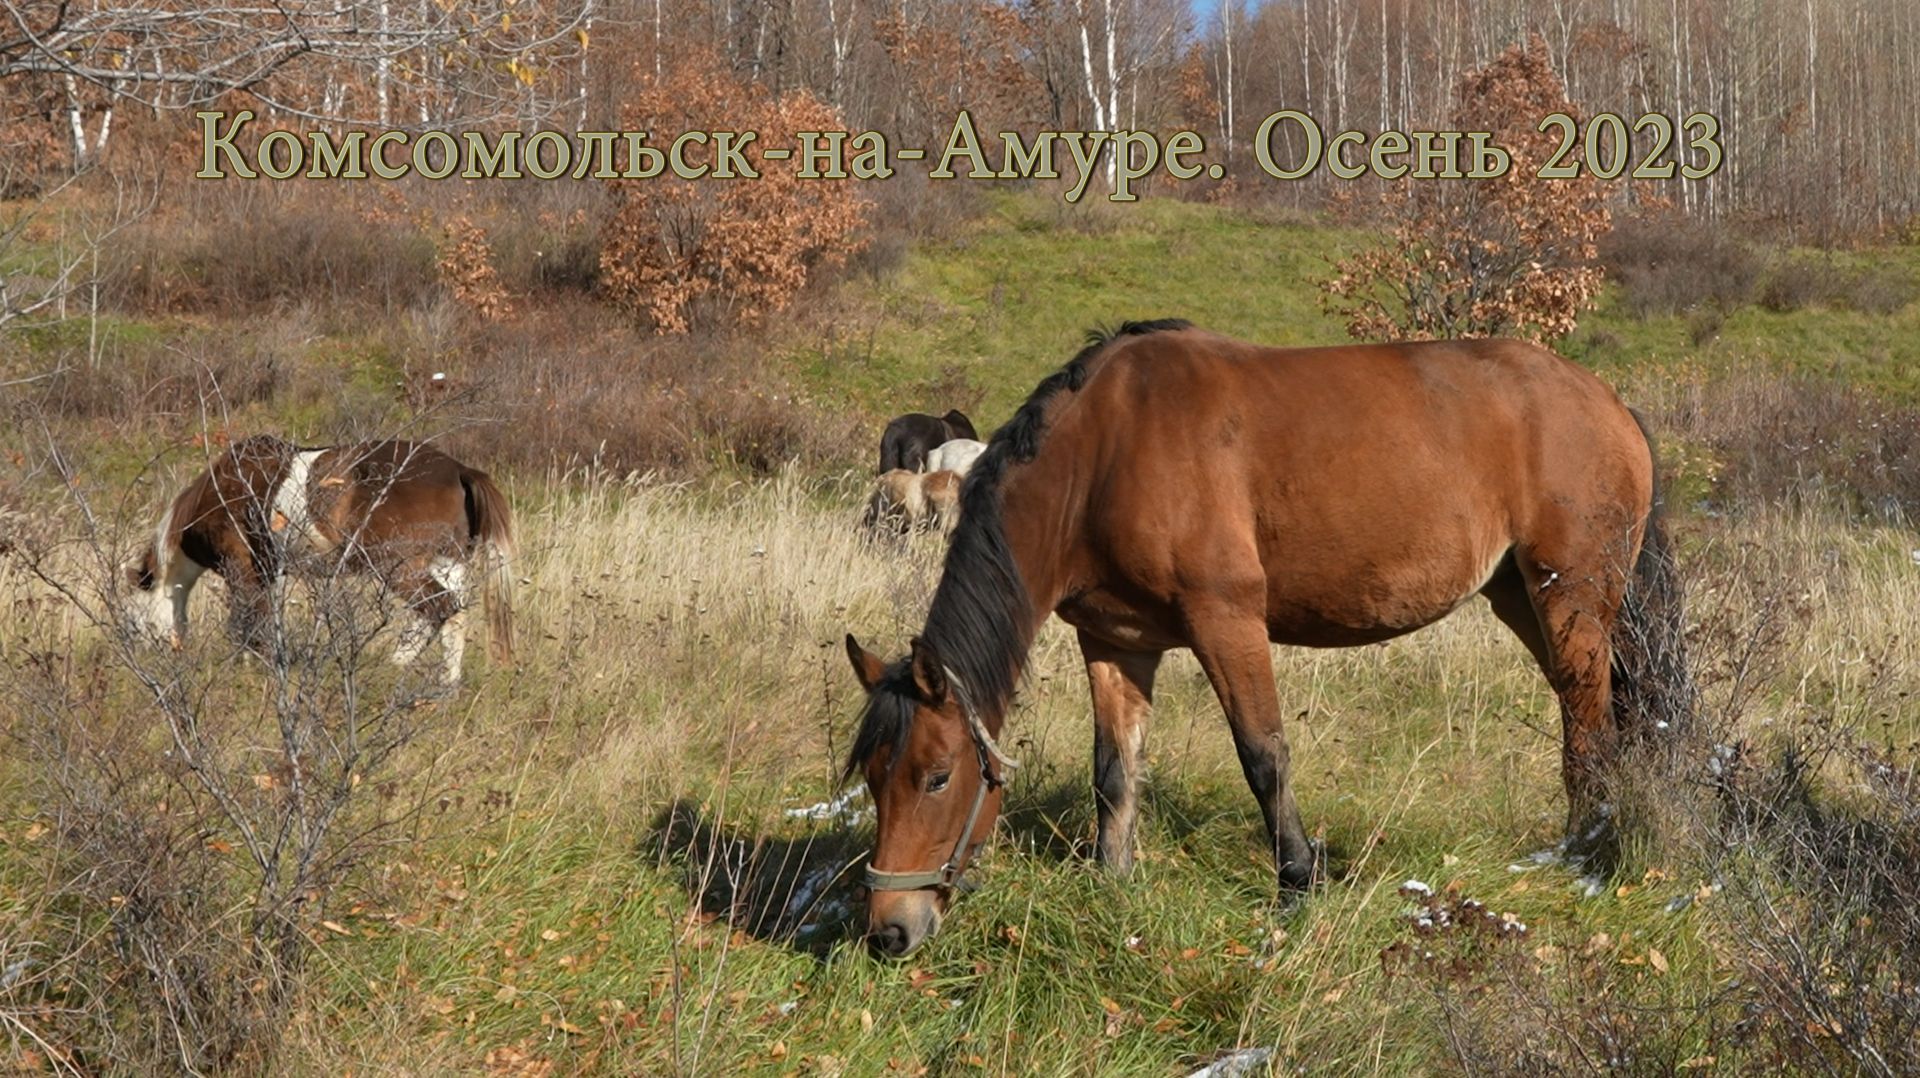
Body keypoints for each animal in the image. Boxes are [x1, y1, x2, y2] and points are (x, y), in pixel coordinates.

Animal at [126, 435, 515, 687]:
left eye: (133, 622)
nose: (143, 664)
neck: (218, 492)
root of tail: (460, 470)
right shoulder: (268, 572)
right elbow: (259, 622)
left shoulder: (242, 569)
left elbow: (246, 623)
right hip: (447, 563)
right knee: (454, 617)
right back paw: (448, 684)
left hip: (399, 567)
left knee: (437, 608)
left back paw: (392, 666)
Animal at [842, 320, 1688, 957]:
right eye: (872, 779)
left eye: (937, 776)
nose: (888, 931)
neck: (1105, 453)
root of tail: (1606, 400)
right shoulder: (1116, 642)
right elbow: (1114, 771)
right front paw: (1113, 882)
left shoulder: (1227, 621)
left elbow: (1264, 757)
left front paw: (1297, 884)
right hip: (1522, 593)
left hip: (1570, 593)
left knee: (1588, 718)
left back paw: (1579, 849)